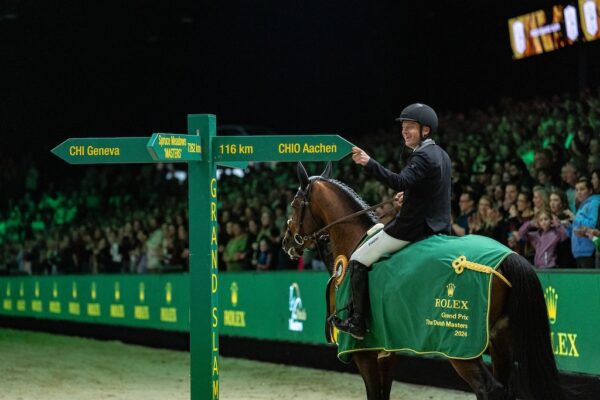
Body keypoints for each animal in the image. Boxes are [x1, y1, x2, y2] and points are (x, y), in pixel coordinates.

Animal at [282, 162, 564, 400]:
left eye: (294, 204)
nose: (286, 242)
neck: (354, 243)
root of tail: (507, 257)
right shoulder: (386, 352)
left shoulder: (364, 353)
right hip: (499, 341)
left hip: (463, 349)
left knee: (490, 389)